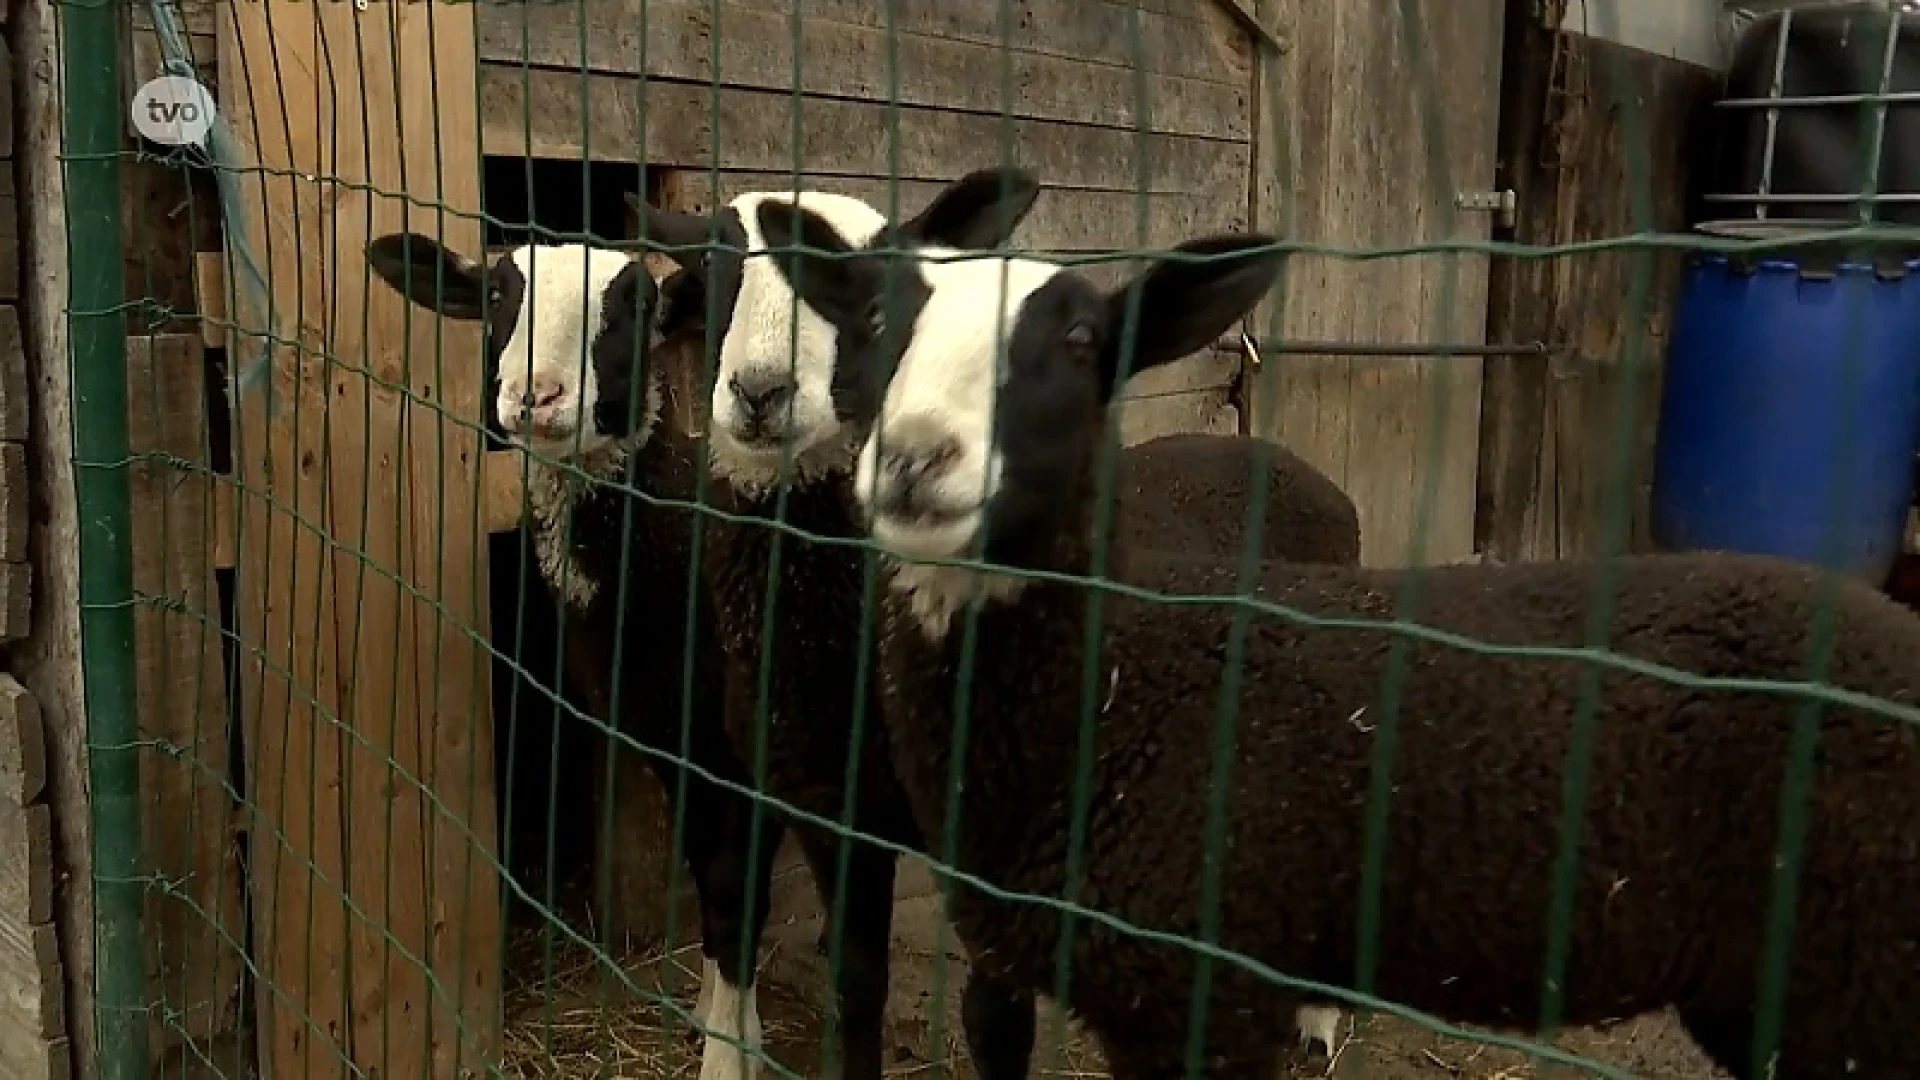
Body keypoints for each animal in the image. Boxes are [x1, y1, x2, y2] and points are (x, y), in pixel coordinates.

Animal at [362, 233, 768, 1076]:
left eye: (635, 306)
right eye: (494, 296)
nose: (536, 395)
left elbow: (735, 886)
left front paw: (730, 1055)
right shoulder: (672, 735)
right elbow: (715, 877)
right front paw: (722, 1020)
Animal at [756, 212, 1920, 1076]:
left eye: (1084, 341)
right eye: (871, 317)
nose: (915, 459)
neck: (1120, 688)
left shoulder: (1204, 994)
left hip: (1861, 983)